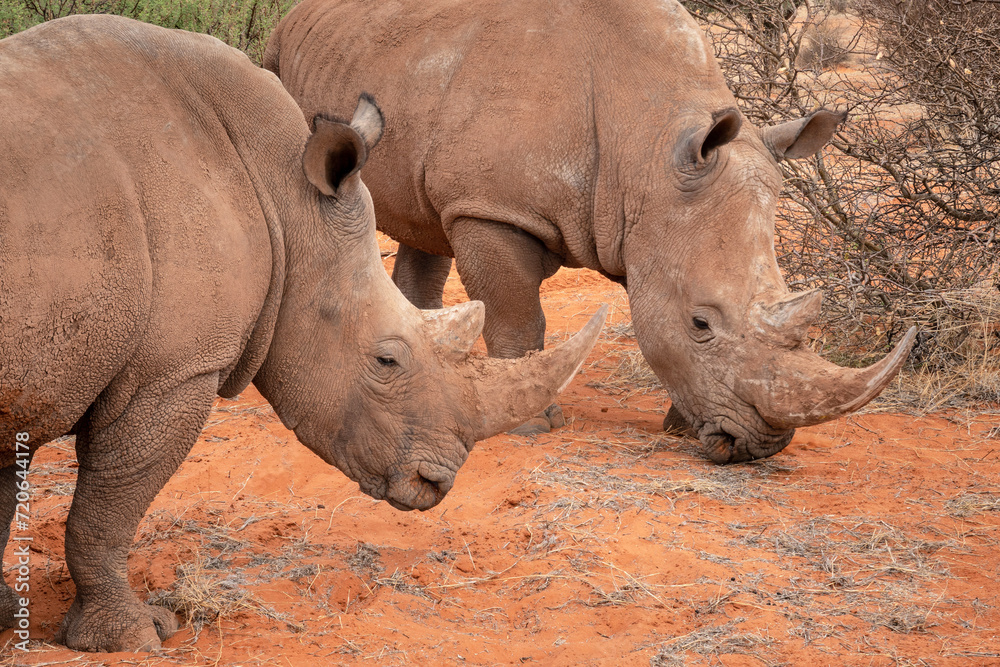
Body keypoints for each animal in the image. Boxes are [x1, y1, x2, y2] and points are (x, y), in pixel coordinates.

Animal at [0, 16, 605, 652]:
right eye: (387, 361)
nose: (435, 483)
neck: (285, 202)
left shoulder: (32, 370)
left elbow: (4, 500)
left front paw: (4, 613)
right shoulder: (172, 370)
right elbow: (111, 504)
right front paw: (136, 635)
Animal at [264, 0, 916, 462]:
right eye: (701, 324)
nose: (761, 448)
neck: (649, 143)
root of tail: (295, 13)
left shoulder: (643, 216)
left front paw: (678, 427)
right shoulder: (490, 206)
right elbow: (517, 311)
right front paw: (531, 424)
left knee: (423, 226)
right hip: (283, 65)